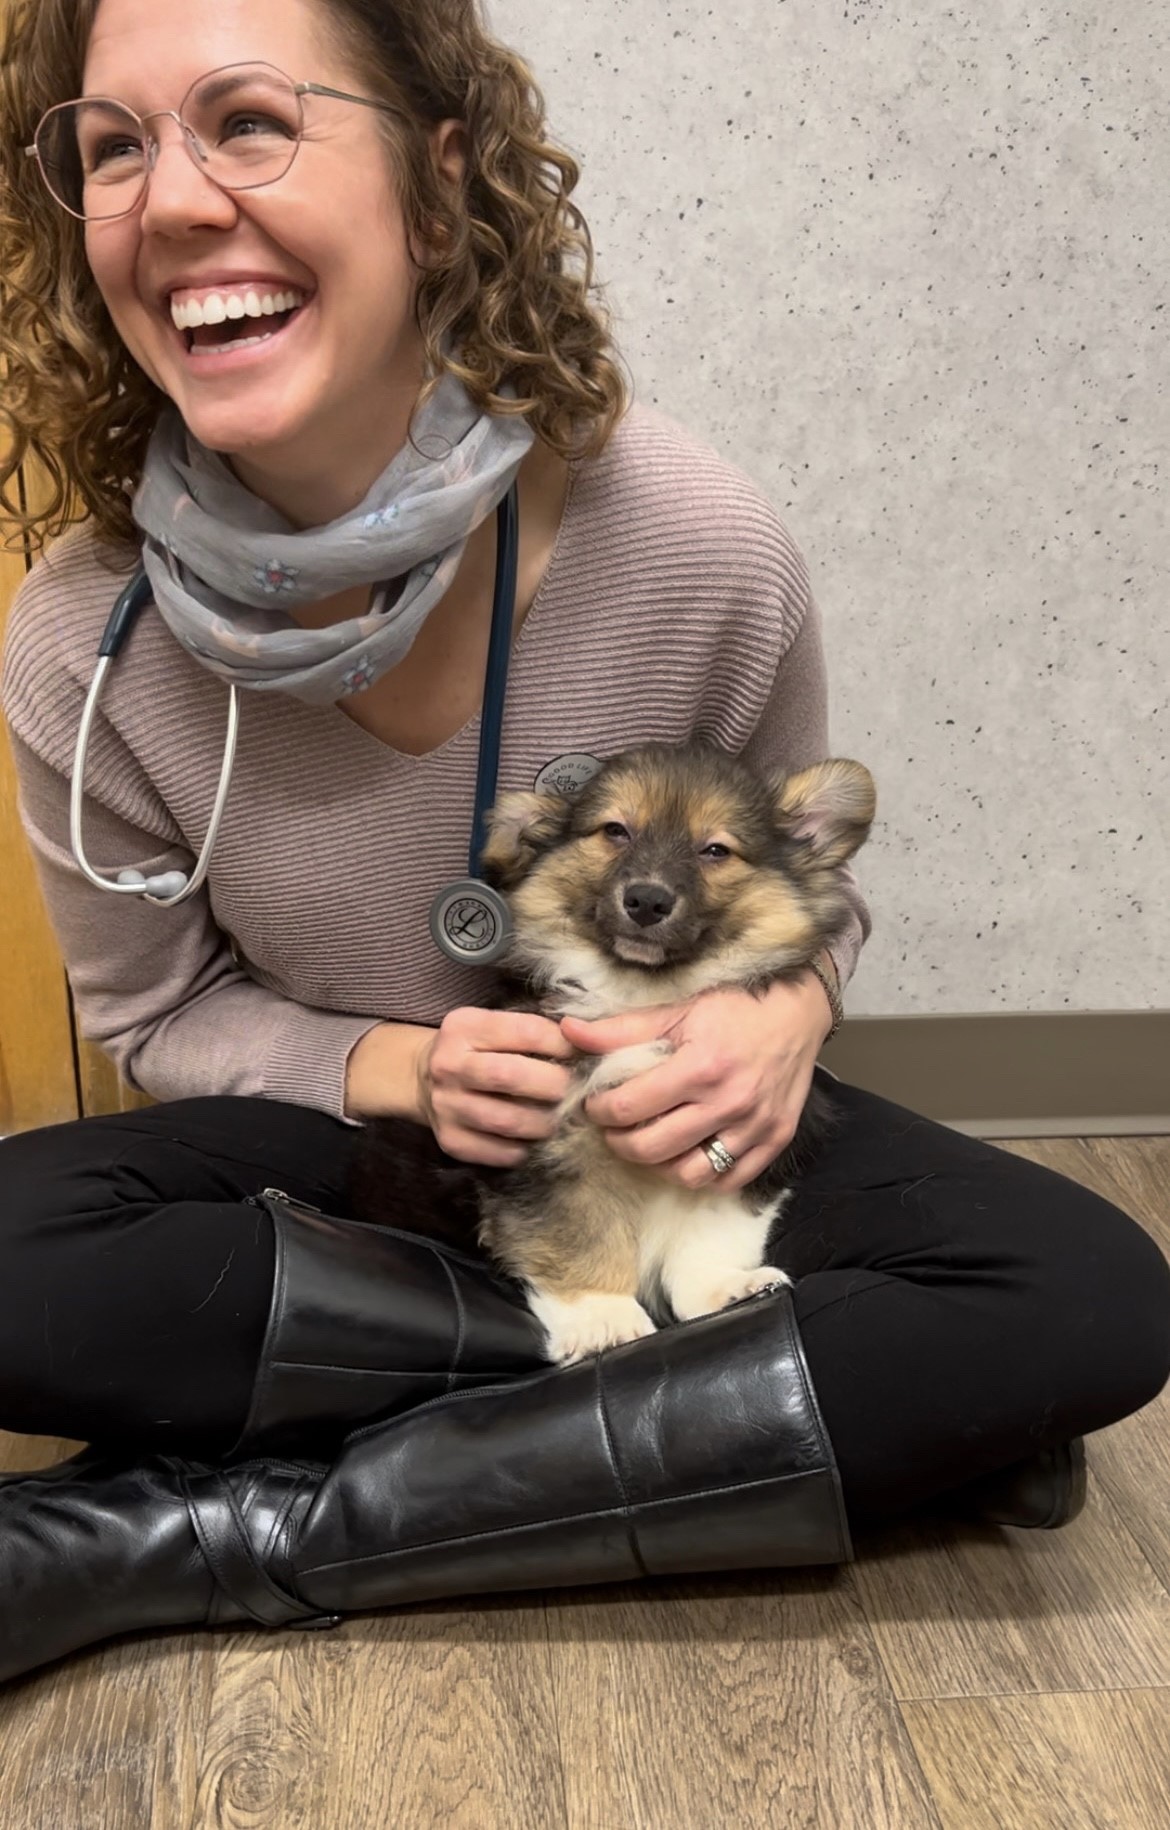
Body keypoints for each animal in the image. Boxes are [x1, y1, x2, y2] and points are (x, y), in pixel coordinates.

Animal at [358, 739, 878, 1361]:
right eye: (615, 831)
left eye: (715, 850)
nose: (647, 900)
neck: (644, 995)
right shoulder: (551, 1143)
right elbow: (579, 1233)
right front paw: (602, 1320)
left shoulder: (746, 1136)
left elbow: (711, 1231)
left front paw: (725, 1290)